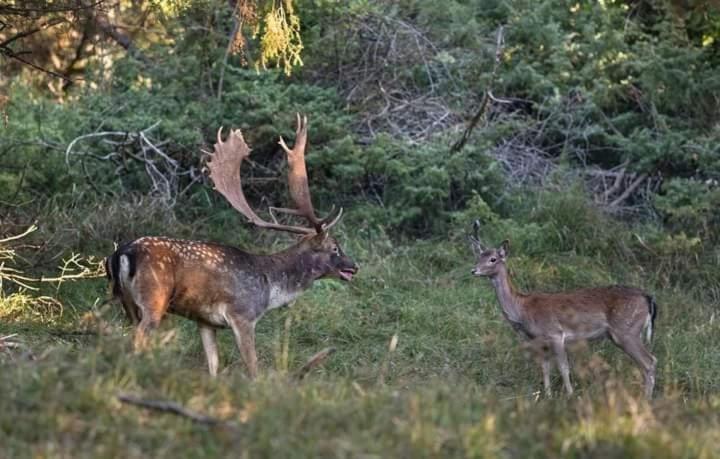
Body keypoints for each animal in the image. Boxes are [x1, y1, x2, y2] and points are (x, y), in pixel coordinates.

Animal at [105, 117, 358, 380]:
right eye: (335, 248)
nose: (354, 266)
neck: (270, 288)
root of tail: (122, 253)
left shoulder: (205, 321)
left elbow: (213, 365)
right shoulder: (243, 314)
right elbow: (253, 367)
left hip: (125, 301)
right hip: (153, 298)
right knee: (138, 339)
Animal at [470, 226, 656, 398]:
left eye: (493, 259)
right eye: (478, 257)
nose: (473, 270)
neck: (522, 309)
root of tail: (647, 297)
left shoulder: (555, 333)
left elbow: (563, 367)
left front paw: (570, 396)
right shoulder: (540, 340)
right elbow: (545, 367)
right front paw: (547, 396)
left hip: (626, 331)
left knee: (650, 362)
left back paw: (646, 400)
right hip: (625, 333)